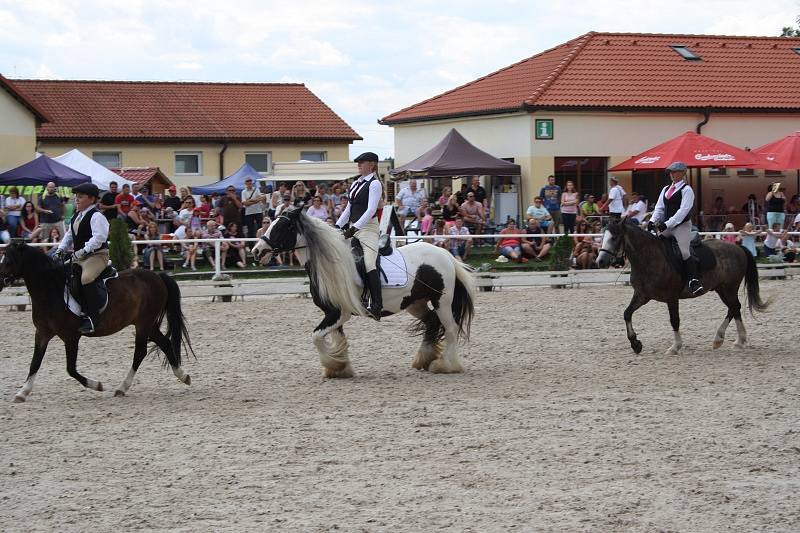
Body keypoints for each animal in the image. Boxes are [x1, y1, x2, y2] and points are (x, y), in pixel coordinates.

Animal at [0, 243, 194, 402]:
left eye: (8, 260)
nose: (0, 282)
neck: (51, 290)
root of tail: (158, 276)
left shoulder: (71, 337)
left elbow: (70, 369)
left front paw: (97, 385)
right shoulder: (42, 333)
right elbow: (35, 363)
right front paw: (22, 392)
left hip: (144, 323)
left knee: (140, 352)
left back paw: (122, 387)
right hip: (148, 324)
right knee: (165, 343)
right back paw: (183, 376)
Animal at [252, 206, 476, 376]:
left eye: (282, 226)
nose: (257, 251)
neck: (330, 265)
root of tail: (445, 254)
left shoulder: (339, 314)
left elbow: (316, 337)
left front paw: (334, 365)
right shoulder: (332, 314)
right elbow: (337, 339)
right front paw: (340, 368)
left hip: (442, 302)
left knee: (450, 329)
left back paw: (445, 365)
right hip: (415, 303)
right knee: (431, 322)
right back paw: (424, 359)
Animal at [596, 218, 764, 356]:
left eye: (614, 237)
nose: (600, 261)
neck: (649, 258)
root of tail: (738, 248)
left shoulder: (671, 297)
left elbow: (674, 320)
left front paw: (675, 347)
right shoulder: (642, 295)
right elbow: (627, 314)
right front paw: (635, 344)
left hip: (729, 288)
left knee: (734, 307)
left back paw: (730, 340)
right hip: (721, 289)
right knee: (733, 308)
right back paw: (731, 341)